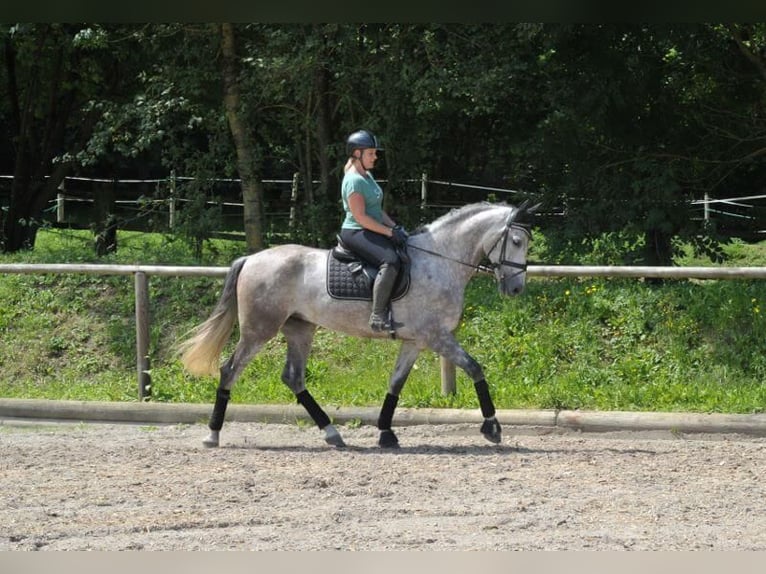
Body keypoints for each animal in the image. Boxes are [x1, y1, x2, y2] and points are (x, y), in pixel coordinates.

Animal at [180, 201, 540, 450]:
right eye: (517, 241)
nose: (516, 289)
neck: (440, 261)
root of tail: (251, 258)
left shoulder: (415, 340)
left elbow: (395, 383)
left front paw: (386, 433)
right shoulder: (437, 336)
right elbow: (475, 368)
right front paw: (492, 427)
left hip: (300, 328)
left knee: (293, 377)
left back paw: (332, 433)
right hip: (259, 329)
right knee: (230, 370)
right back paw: (212, 434)